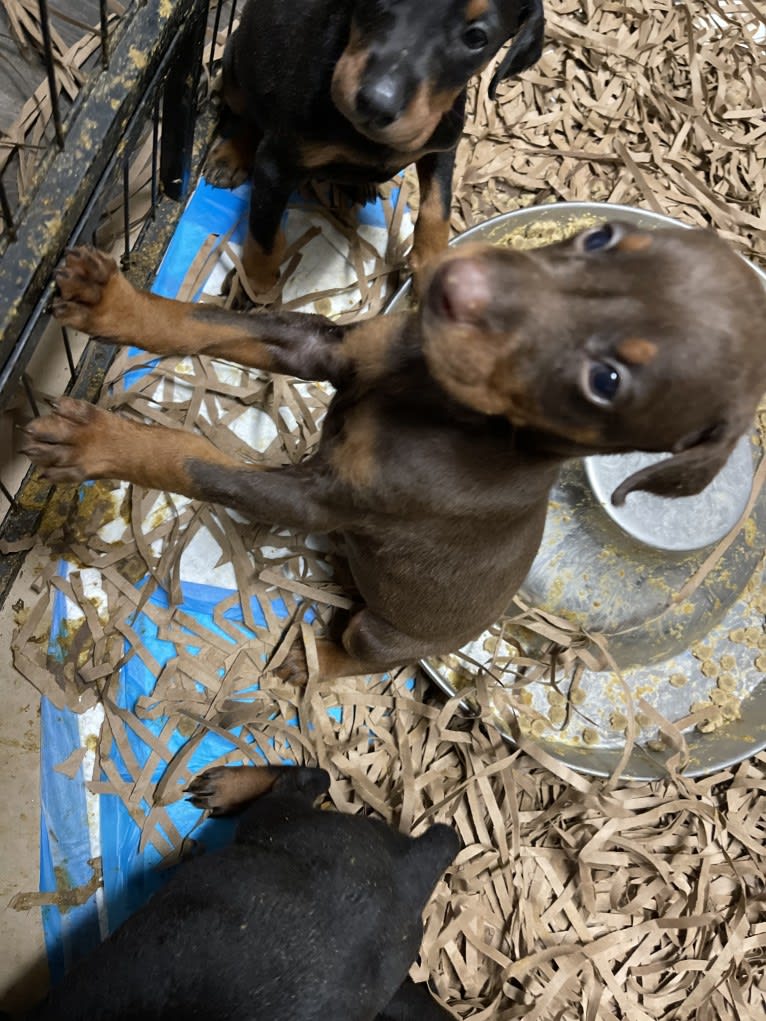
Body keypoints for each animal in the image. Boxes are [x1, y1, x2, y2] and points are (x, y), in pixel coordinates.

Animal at [20, 227, 766, 682]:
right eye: (600, 235)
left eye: (607, 381)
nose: (456, 281)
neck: (437, 402)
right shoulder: (327, 347)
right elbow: (207, 325)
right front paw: (115, 305)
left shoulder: (316, 498)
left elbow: (192, 460)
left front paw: (101, 443)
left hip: (382, 633)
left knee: (357, 652)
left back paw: (309, 661)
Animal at [205, 0, 547, 296]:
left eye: (477, 37)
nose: (375, 103)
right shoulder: (278, 164)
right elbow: (265, 235)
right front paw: (255, 287)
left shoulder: (442, 145)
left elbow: (438, 206)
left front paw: (432, 263)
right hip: (237, 66)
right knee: (248, 113)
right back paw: (229, 157)